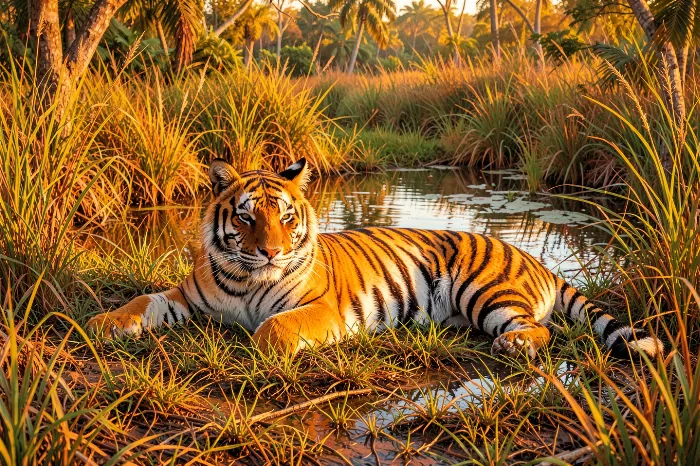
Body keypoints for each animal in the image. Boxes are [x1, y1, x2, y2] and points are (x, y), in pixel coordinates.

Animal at [87, 158, 664, 360]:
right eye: (247, 218)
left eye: (287, 217)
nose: (272, 250)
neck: (249, 279)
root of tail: (535, 260)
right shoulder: (186, 296)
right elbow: (142, 299)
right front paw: (103, 323)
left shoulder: (322, 308)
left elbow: (272, 328)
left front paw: (260, 342)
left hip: (485, 289)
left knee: (539, 330)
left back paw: (514, 343)